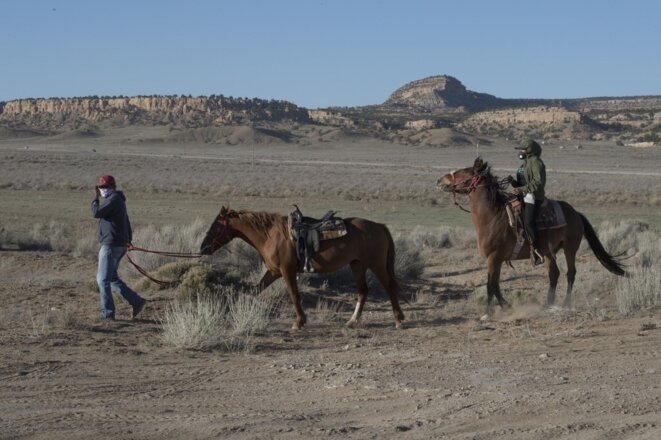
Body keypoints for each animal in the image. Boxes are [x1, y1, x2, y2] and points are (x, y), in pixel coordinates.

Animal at [197, 208, 402, 328]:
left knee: (390, 287)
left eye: (216, 226)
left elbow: (294, 294)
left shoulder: (287, 271)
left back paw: (399, 320)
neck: (270, 235)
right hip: (357, 265)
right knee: (363, 291)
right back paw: (352, 321)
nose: (203, 247)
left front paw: (299, 322)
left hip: (376, 264)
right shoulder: (274, 272)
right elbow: (257, 289)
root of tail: (380, 227)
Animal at [438, 156, 624, 314]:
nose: (440, 180)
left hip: (570, 248)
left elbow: (491, 285)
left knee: (570, 273)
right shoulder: (493, 259)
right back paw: (548, 303)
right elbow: (493, 284)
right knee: (554, 273)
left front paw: (492, 311)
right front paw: (501, 308)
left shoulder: (495, 257)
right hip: (548, 251)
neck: (492, 217)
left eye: (463, 171)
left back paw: (565, 304)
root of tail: (576, 213)